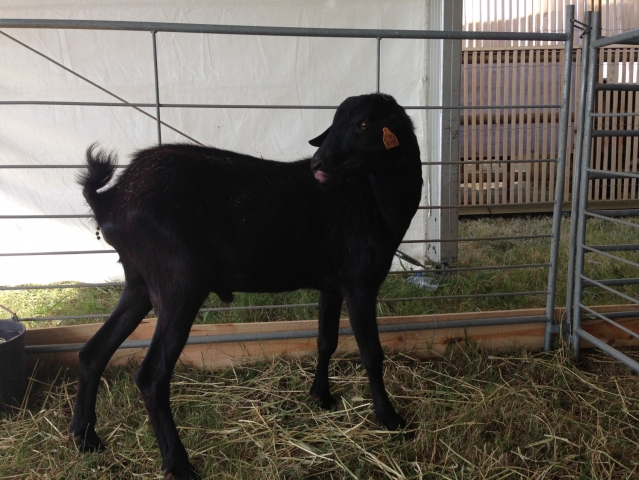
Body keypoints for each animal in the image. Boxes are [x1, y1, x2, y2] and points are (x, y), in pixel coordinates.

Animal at [71, 92, 424, 478]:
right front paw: (391, 419)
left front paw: (321, 396)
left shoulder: (332, 284)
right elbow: (372, 353)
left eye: (362, 124)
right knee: (151, 376)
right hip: (178, 283)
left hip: (139, 282)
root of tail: (111, 198)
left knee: (93, 353)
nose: (318, 162)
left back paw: (85, 438)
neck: (372, 199)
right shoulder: (361, 282)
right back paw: (178, 464)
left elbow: (325, 341)